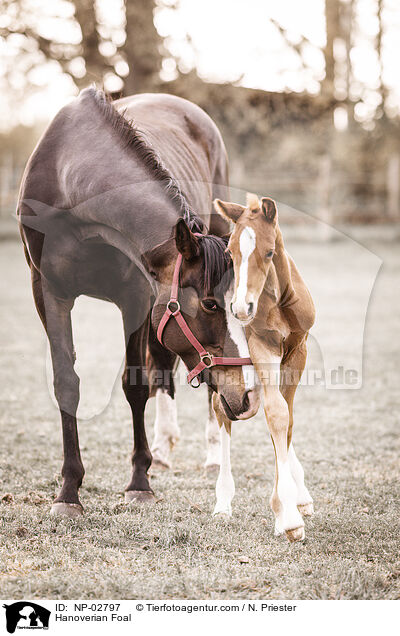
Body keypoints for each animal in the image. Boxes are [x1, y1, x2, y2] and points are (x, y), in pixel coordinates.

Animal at [17, 88, 258, 516]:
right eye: (209, 305)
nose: (247, 396)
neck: (72, 183)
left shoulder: (136, 297)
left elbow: (136, 384)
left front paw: (138, 484)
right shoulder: (48, 293)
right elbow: (67, 384)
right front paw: (69, 491)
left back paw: (212, 455)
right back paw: (161, 452)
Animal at [212, 194, 316, 540]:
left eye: (269, 252)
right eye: (230, 252)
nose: (242, 309)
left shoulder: (298, 350)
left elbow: (287, 418)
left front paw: (290, 507)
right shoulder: (261, 347)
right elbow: (277, 414)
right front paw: (288, 518)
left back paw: (302, 497)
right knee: (220, 410)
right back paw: (222, 503)